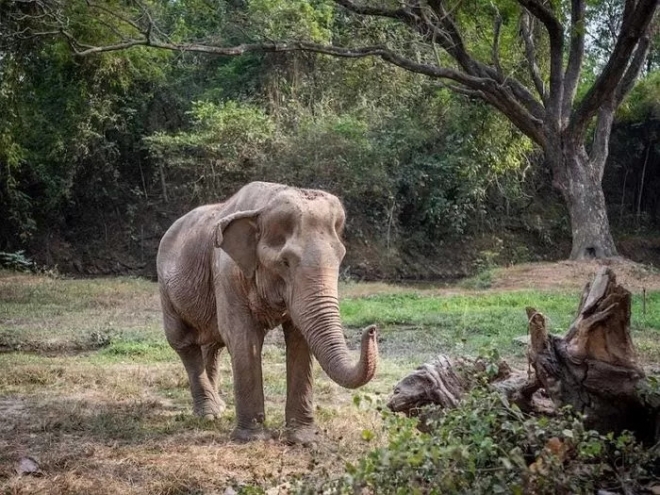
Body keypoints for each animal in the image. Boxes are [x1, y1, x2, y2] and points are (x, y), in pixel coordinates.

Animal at [155, 182, 378, 446]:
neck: (264, 205)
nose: (372, 330)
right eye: (285, 262)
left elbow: (299, 338)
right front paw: (252, 439)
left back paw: (219, 408)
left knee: (212, 345)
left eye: (341, 257)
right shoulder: (227, 273)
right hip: (166, 289)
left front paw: (304, 439)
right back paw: (209, 415)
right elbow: (243, 337)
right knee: (184, 343)